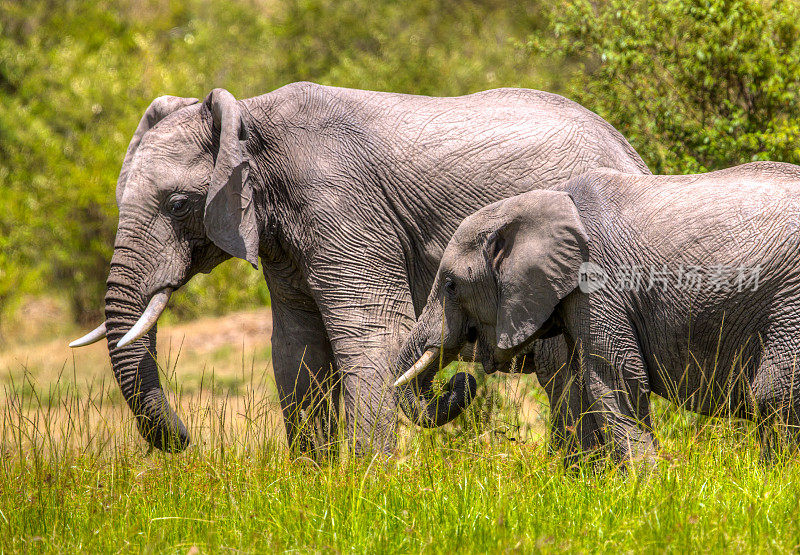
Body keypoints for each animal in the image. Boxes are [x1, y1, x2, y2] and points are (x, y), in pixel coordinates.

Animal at [396, 162, 800, 464]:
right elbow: (577, 385)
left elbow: (615, 378)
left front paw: (646, 492)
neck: (540, 202)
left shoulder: (599, 285)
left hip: (788, 302)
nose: (461, 382)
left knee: (775, 394)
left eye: (451, 284)